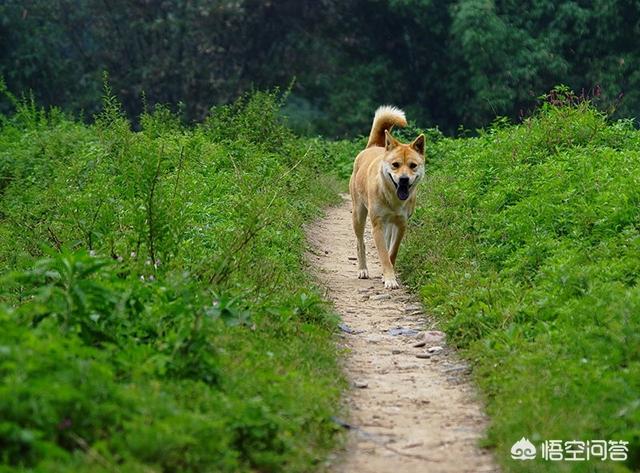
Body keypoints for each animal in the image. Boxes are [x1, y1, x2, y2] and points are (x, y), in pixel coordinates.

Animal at [350, 105, 424, 288]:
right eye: (395, 164)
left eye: (413, 165)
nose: (404, 179)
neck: (393, 199)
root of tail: (374, 146)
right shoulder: (377, 224)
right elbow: (383, 254)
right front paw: (390, 279)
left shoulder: (401, 224)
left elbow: (392, 252)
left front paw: (387, 275)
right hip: (358, 215)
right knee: (360, 243)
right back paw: (362, 270)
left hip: (389, 223)